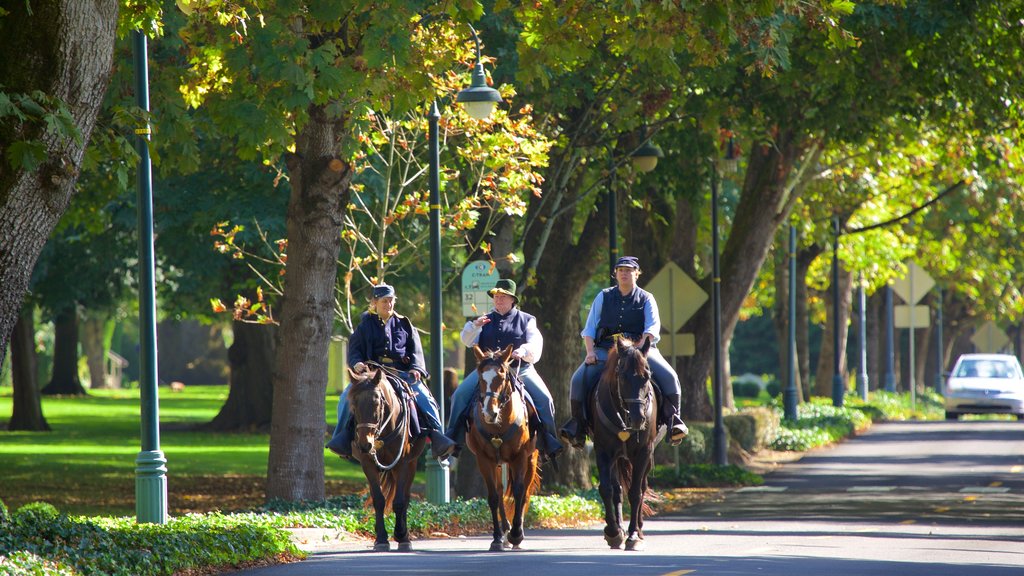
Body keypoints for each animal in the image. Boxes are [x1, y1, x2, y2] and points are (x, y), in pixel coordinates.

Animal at [346, 364, 421, 549]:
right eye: (354, 404)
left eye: (377, 403)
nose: (365, 444)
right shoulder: (368, 464)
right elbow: (378, 499)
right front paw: (380, 537)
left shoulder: (402, 462)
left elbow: (400, 501)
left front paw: (401, 535)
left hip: (412, 463)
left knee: (405, 497)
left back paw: (404, 534)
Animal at [466, 342, 544, 549]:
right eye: (480, 378)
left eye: (501, 376)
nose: (489, 413)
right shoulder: (484, 459)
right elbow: (494, 496)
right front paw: (497, 537)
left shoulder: (520, 457)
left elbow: (519, 492)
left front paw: (516, 534)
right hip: (499, 463)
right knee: (501, 491)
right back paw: (505, 529)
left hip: (530, 459)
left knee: (525, 492)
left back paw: (515, 533)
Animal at [589, 338, 659, 549]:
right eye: (622, 376)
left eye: (647, 376)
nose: (638, 419)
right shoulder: (603, 452)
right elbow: (607, 489)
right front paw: (613, 531)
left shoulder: (644, 452)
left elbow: (635, 492)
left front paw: (633, 535)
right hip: (618, 458)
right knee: (617, 490)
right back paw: (619, 527)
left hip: (646, 458)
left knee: (642, 487)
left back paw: (639, 529)